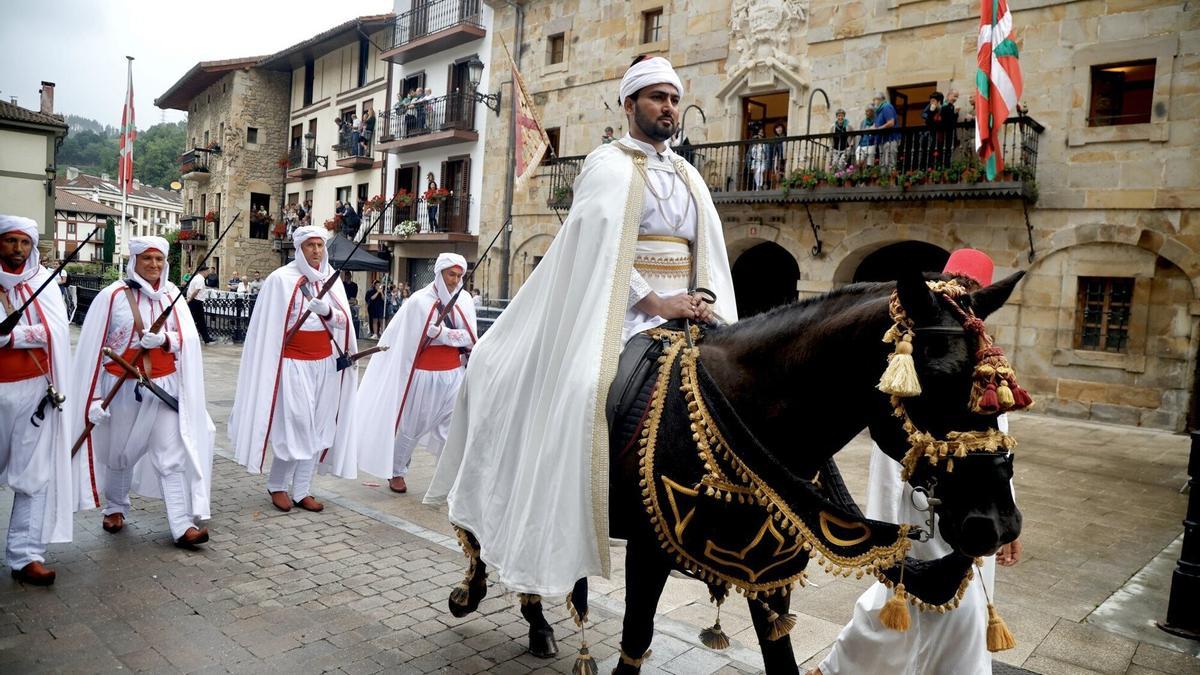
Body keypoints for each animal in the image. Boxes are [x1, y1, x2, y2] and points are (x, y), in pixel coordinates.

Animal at [446, 269, 1027, 672]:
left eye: (1004, 388)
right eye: (938, 377)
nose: (997, 523)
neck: (743, 407)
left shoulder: (768, 570)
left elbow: (780, 657)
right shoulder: (649, 551)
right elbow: (635, 641)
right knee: (487, 537)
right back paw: (480, 598)